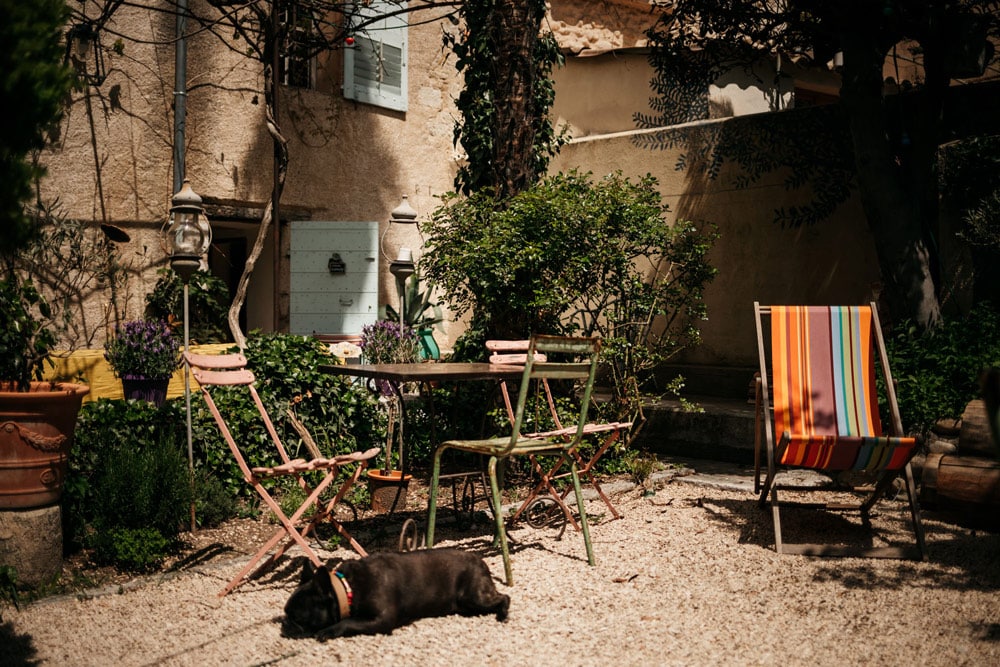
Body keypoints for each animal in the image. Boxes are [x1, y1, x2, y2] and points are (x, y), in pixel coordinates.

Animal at [284, 548, 512, 640]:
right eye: (285, 612)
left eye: (297, 616)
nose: (285, 624)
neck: (347, 588)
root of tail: (480, 560)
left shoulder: (381, 619)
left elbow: (348, 622)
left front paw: (328, 631)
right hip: (466, 603)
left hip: (474, 596)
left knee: (505, 597)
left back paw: (503, 614)